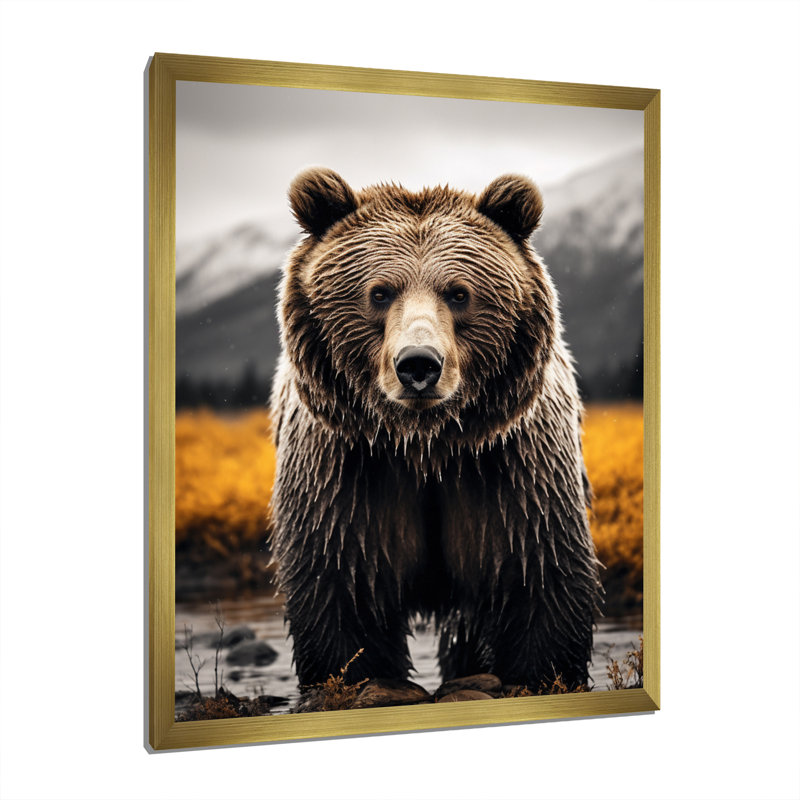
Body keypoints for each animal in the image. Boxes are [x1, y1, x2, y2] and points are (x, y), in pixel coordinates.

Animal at [269, 167, 601, 693]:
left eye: (459, 292)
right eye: (380, 291)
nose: (418, 365)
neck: (426, 444)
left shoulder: (511, 468)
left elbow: (538, 574)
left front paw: (540, 673)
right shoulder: (346, 473)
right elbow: (339, 586)